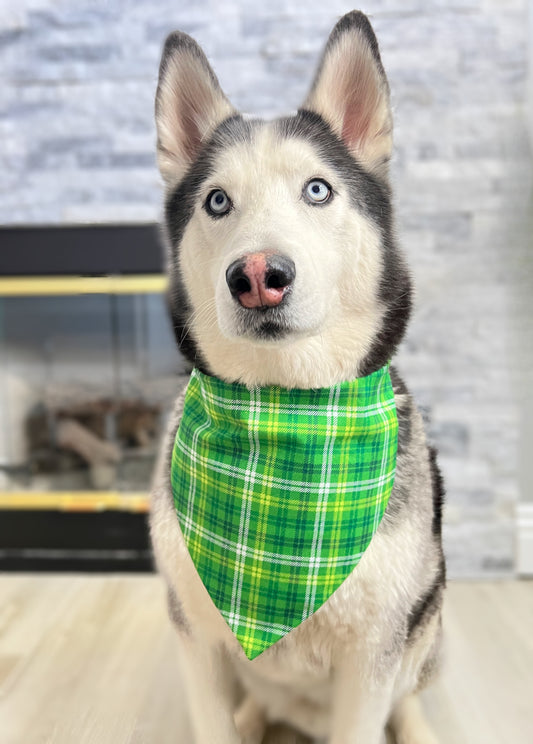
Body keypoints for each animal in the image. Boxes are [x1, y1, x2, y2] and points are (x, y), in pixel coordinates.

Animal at [150, 10, 444, 744]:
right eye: (216, 201)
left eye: (317, 190)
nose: (258, 275)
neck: (285, 409)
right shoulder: (195, 639)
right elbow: (212, 722)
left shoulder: (371, 656)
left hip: (428, 616)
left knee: (409, 693)